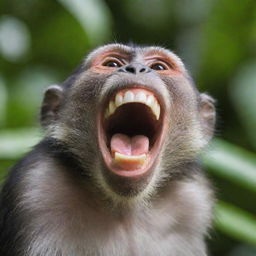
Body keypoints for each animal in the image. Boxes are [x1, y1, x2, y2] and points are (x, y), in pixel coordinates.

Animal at [0, 44, 216, 256]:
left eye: (159, 67)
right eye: (111, 64)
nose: (136, 68)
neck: (124, 207)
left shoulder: (192, 203)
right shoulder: (35, 187)